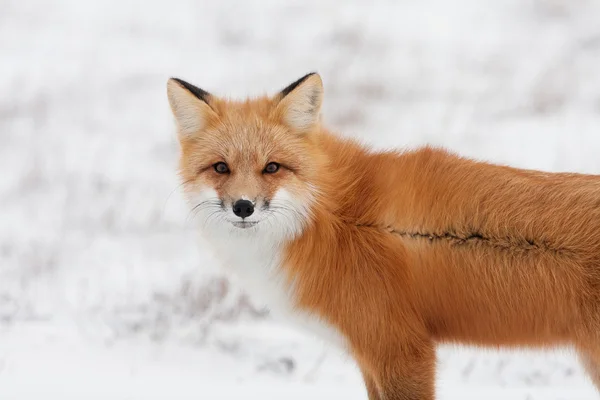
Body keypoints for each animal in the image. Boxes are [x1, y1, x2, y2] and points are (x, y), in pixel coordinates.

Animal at [166, 73, 600, 398]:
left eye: (272, 167)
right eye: (220, 168)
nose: (243, 207)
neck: (333, 218)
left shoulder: (400, 350)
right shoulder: (370, 354)